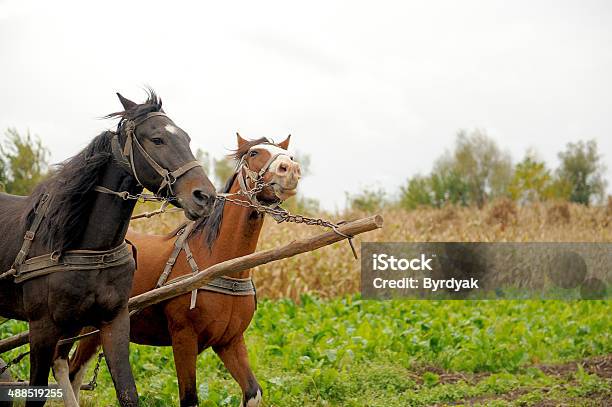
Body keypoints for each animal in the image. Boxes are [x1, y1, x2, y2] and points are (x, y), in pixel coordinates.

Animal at [0, 91, 215, 406]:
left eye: (186, 138)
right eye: (157, 139)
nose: (205, 196)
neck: (86, 249)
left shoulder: (114, 321)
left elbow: (128, 393)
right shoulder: (41, 327)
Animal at [70, 135, 300, 407]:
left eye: (289, 155)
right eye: (254, 153)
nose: (290, 169)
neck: (222, 266)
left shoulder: (229, 341)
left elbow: (253, 392)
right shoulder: (183, 338)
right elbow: (189, 398)